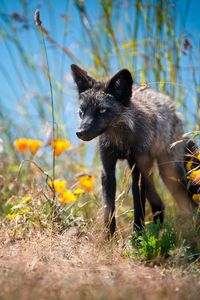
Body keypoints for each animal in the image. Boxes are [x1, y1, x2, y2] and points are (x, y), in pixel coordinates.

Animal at [70, 64, 197, 238]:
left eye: (102, 110)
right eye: (82, 111)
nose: (80, 132)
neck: (120, 142)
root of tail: (171, 105)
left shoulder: (137, 172)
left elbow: (139, 210)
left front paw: (137, 238)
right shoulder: (107, 171)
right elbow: (109, 211)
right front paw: (108, 240)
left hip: (168, 174)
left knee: (189, 204)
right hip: (151, 175)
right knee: (159, 204)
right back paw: (159, 231)